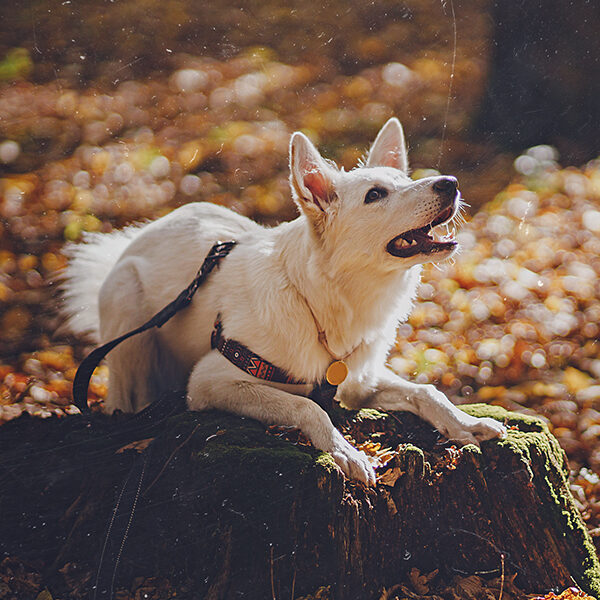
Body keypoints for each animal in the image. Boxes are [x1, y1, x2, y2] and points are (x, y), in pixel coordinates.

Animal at [61, 119, 504, 486]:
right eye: (376, 195)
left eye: (403, 179)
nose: (450, 182)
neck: (321, 300)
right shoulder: (210, 380)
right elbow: (308, 407)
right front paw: (344, 451)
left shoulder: (359, 383)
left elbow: (427, 392)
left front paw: (466, 423)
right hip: (128, 311)